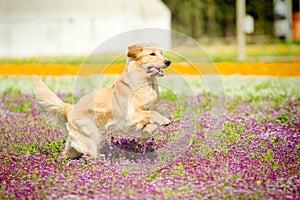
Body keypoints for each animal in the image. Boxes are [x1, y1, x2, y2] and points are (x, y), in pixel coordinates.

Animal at [33, 44, 171, 159]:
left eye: (161, 53)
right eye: (152, 54)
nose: (168, 61)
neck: (146, 83)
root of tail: (70, 108)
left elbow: (150, 125)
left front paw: (146, 136)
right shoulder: (130, 115)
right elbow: (152, 114)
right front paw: (165, 120)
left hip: (76, 143)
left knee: (66, 153)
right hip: (90, 138)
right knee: (90, 155)